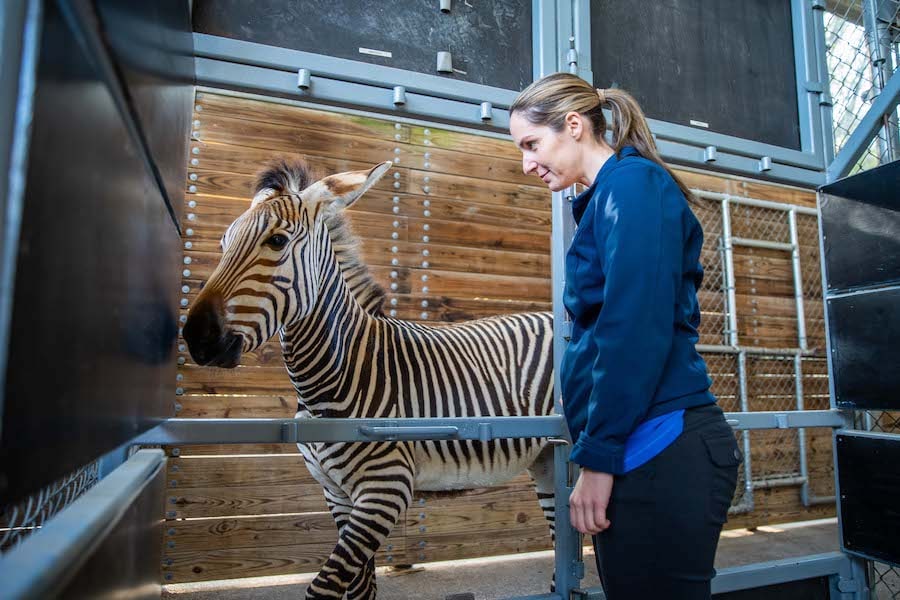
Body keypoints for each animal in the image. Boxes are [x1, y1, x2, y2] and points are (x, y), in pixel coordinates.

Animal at [183, 159, 556, 599]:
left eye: (277, 241)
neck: (334, 378)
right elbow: (360, 588)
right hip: (548, 459)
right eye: (223, 244)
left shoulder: (385, 489)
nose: (195, 337)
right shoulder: (337, 494)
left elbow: (324, 589)